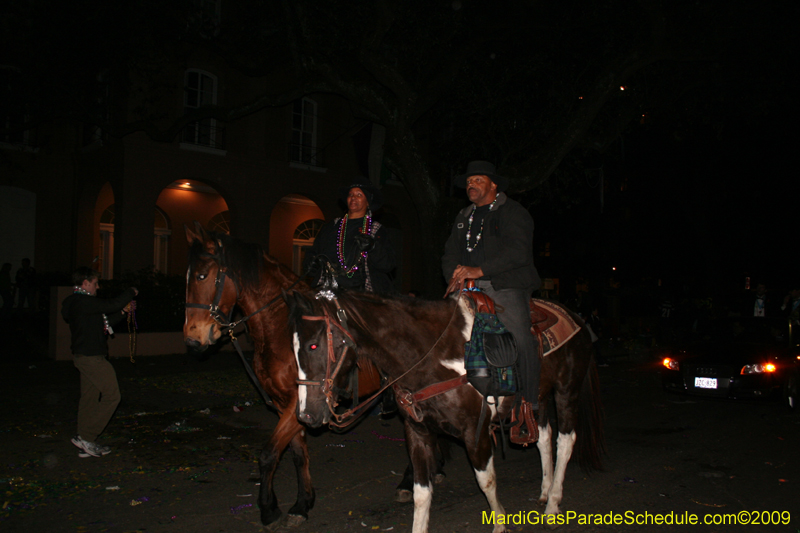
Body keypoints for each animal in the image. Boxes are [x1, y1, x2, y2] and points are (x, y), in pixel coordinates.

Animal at [185, 222, 316, 524]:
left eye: (201, 275)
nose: (192, 339)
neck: (282, 330)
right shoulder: (282, 403)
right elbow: (297, 453)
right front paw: (302, 502)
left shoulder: (298, 402)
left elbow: (268, 454)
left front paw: (268, 507)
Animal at [284, 288, 604, 532]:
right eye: (293, 348)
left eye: (314, 345)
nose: (306, 415)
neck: (434, 357)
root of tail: (576, 318)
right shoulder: (417, 432)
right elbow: (421, 493)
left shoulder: (475, 431)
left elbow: (486, 480)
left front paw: (500, 524)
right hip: (537, 397)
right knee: (544, 437)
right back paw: (545, 491)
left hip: (566, 391)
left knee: (565, 440)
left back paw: (553, 505)